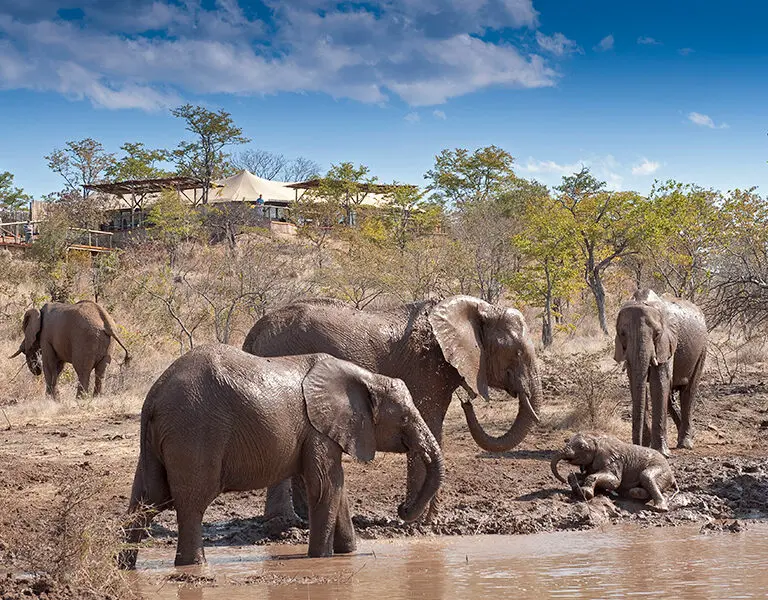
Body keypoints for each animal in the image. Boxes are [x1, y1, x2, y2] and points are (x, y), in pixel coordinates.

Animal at [119, 344, 443, 568]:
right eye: (404, 418)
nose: (402, 509)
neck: (365, 378)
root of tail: (154, 397)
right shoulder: (318, 429)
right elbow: (325, 486)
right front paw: (321, 558)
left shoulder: (319, 431)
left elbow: (337, 488)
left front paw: (348, 554)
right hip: (194, 431)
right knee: (191, 504)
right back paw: (193, 566)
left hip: (159, 441)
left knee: (146, 500)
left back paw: (123, 566)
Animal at [242, 295, 543, 522]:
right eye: (516, 353)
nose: (466, 401)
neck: (476, 308)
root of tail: (253, 333)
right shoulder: (425, 369)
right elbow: (429, 425)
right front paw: (422, 523)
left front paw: (427, 520)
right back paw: (284, 525)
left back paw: (302, 521)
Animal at [613, 289, 707, 456]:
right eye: (622, 333)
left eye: (657, 333)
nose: (636, 446)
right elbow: (636, 383)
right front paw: (646, 447)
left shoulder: (667, 342)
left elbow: (659, 383)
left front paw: (661, 452)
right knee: (670, 397)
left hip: (702, 349)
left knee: (688, 391)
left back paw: (686, 444)